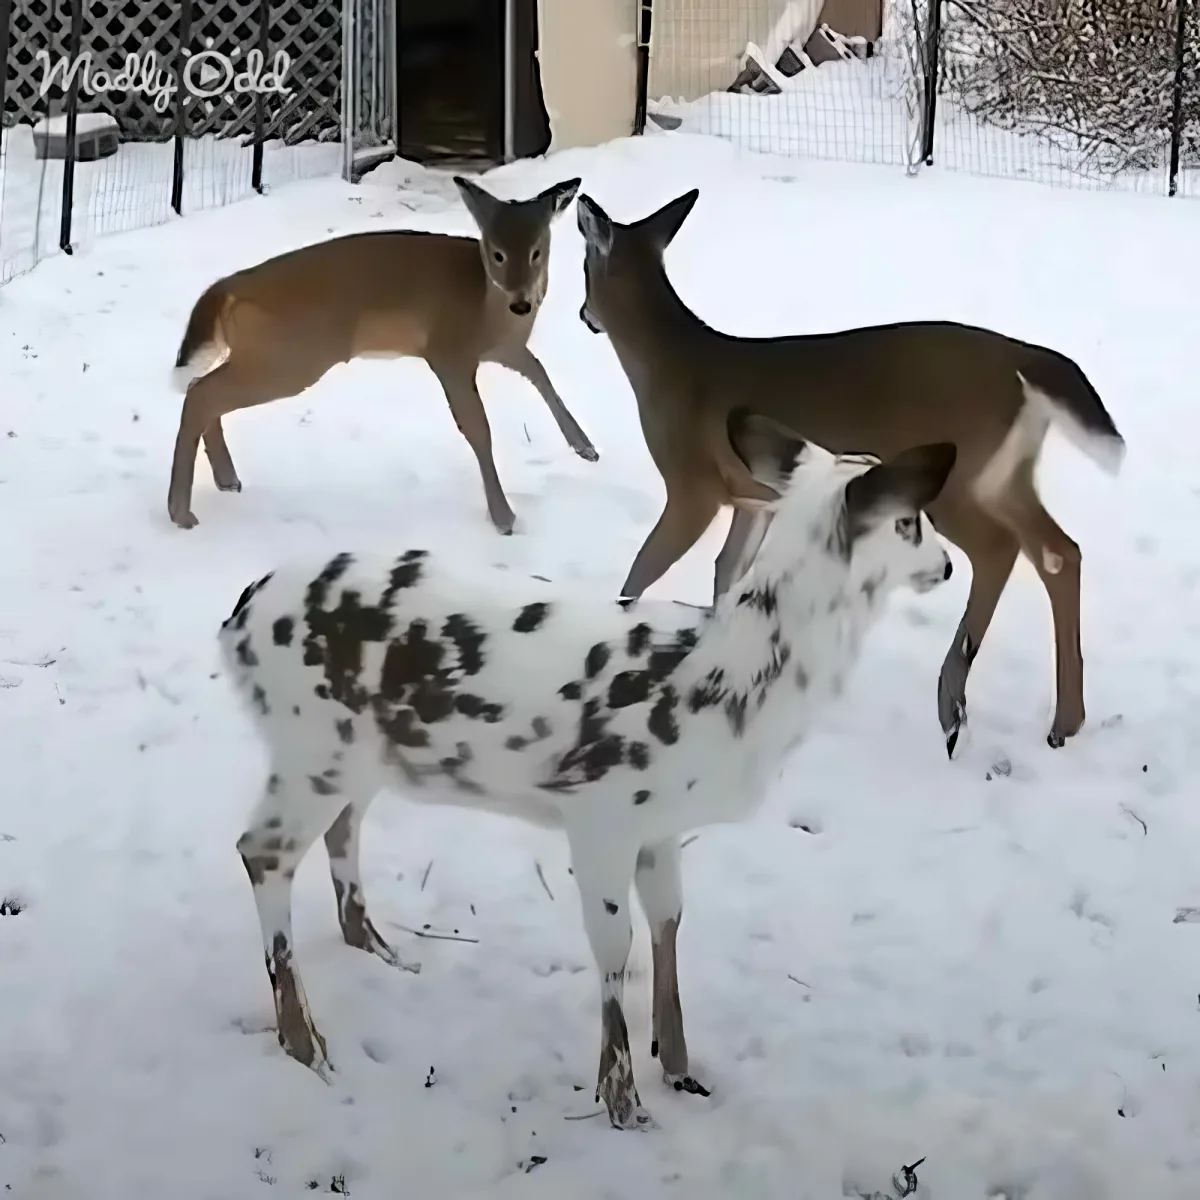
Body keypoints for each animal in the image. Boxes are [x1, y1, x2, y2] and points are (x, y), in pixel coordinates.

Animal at [166, 174, 595, 533]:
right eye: (497, 253)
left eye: (537, 251)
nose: (522, 302)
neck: (486, 308)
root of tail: (226, 288)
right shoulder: (448, 352)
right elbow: (478, 429)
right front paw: (504, 517)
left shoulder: (503, 348)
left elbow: (540, 372)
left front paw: (586, 447)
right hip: (288, 358)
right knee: (201, 393)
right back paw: (181, 512)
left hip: (269, 356)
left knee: (201, 387)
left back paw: (226, 480)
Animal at [218, 418, 957, 1129]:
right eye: (911, 522)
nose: (949, 565)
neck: (728, 679)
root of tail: (240, 616)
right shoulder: (602, 812)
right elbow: (614, 944)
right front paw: (621, 1101)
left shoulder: (661, 827)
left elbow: (669, 923)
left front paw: (680, 1067)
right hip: (309, 744)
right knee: (262, 852)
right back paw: (306, 1043)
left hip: (357, 754)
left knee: (339, 829)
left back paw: (375, 946)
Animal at [574, 188, 1126, 757]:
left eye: (582, 267)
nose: (583, 314)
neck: (670, 368)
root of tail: (1025, 363)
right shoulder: (752, 499)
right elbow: (727, 572)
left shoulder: (692, 486)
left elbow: (642, 571)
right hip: (1006, 475)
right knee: (1060, 551)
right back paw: (1064, 722)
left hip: (957, 476)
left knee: (1001, 547)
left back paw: (952, 702)